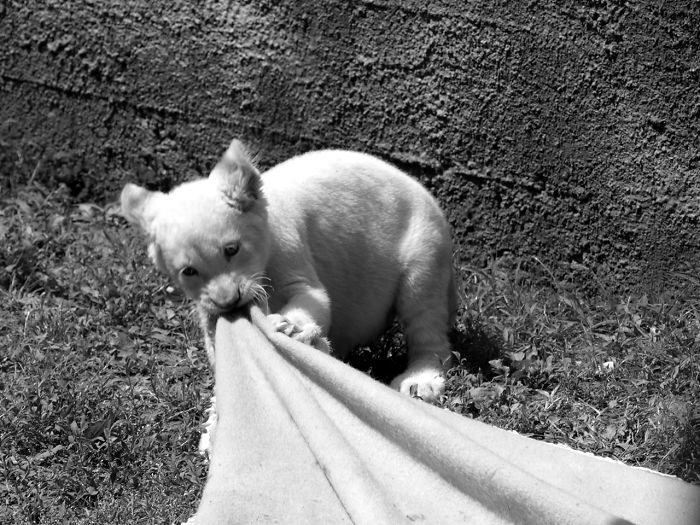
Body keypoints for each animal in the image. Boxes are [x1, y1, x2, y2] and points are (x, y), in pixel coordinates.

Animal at [121, 140, 457, 449]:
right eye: (188, 270)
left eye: (231, 249)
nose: (229, 300)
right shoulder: (205, 302)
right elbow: (214, 342)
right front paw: (214, 427)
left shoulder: (287, 246)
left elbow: (313, 297)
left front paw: (287, 326)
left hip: (423, 243)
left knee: (424, 310)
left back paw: (419, 382)